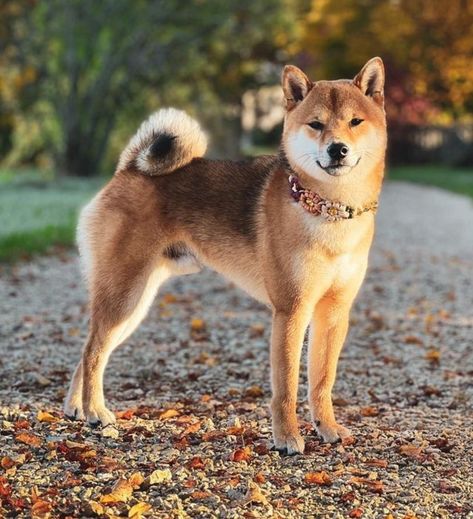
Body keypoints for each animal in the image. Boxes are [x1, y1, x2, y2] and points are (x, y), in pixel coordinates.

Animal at [64, 55, 386, 456]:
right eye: (316, 124)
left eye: (355, 122)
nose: (337, 149)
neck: (330, 210)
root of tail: (128, 169)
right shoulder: (291, 310)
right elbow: (286, 387)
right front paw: (286, 438)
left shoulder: (334, 311)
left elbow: (322, 381)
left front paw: (327, 428)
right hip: (124, 294)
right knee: (93, 352)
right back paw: (95, 412)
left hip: (135, 303)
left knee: (90, 350)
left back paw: (77, 408)